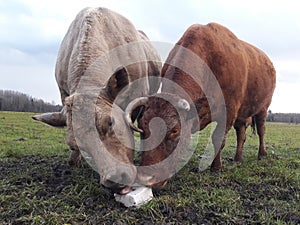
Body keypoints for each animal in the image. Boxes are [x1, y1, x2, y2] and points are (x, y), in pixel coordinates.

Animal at [125, 22, 276, 188]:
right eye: (141, 127)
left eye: (175, 130)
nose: (146, 179)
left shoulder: (229, 111)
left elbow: (218, 139)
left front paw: (216, 167)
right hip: (242, 115)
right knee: (241, 133)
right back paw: (238, 158)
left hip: (263, 108)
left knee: (261, 130)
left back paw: (262, 154)